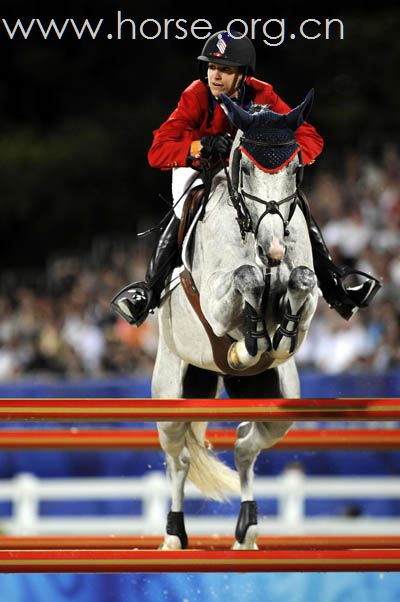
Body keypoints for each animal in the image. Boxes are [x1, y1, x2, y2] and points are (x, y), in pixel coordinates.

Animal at [153, 90, 318, 548]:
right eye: (245, 167)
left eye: (296, 169)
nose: (273, 248)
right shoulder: (214, 298)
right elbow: (245, 277)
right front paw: (251, 335)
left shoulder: (308, 293)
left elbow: (303, 280)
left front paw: (279, 331)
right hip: (172, 393)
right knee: (180, 457)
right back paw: (173, 535)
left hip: (278, 400)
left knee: (246, 445)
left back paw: (247, 529)